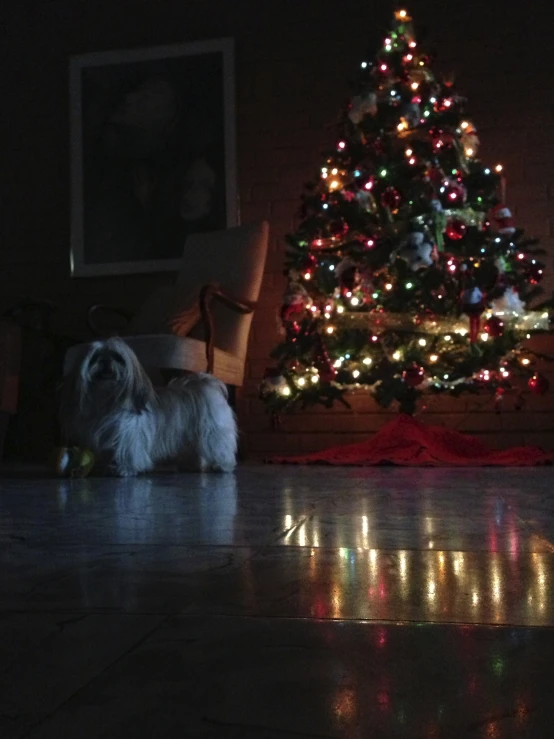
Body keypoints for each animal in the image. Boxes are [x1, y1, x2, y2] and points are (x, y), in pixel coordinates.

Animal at [59, 338, 236, 476]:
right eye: (95, 357)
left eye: (118, 357)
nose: (105, 361)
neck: (108, 400)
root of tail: (207, 384)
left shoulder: (129, 435)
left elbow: (128, 451)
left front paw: (125, 468)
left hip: (213, 430)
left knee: (221, 446)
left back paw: (223, 465)